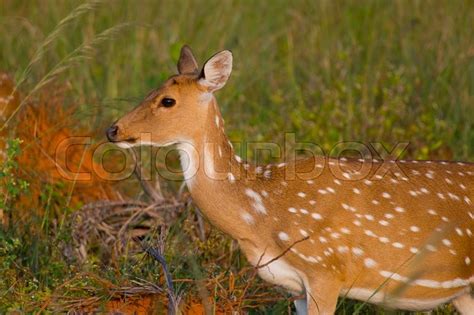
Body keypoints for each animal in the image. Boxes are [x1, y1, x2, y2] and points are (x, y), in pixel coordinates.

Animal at [107, 45, 474, 314]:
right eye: (151, 90)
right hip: (463, 293)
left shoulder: (326, 269)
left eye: (167, 101)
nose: (113, 129)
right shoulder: (295, 286)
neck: (260, 215)